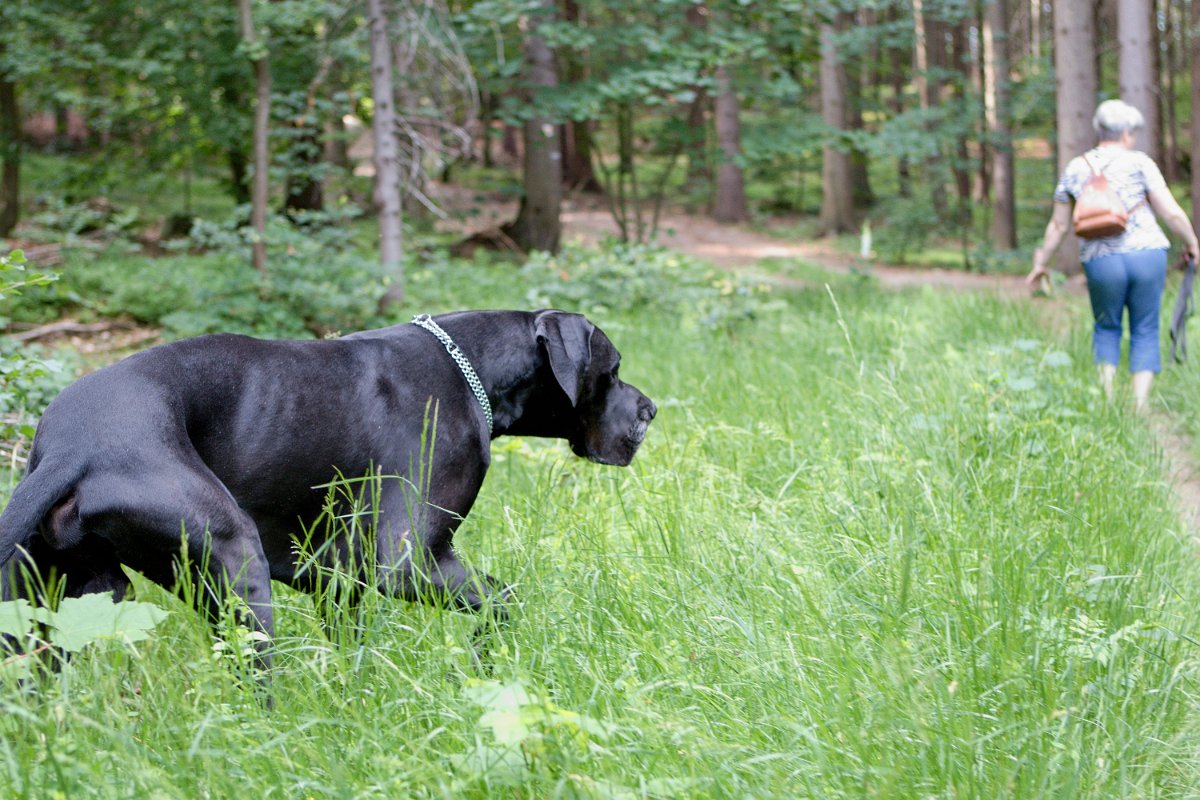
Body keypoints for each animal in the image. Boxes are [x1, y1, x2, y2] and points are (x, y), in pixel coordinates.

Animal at [0, 309, 657, 666]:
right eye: (614, 369)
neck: (469, 365)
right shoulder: (409, 562)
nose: (650, 410)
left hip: (70, 594)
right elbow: (504, 602)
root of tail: (70, 446)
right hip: (236, 557)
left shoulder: (339, 577)